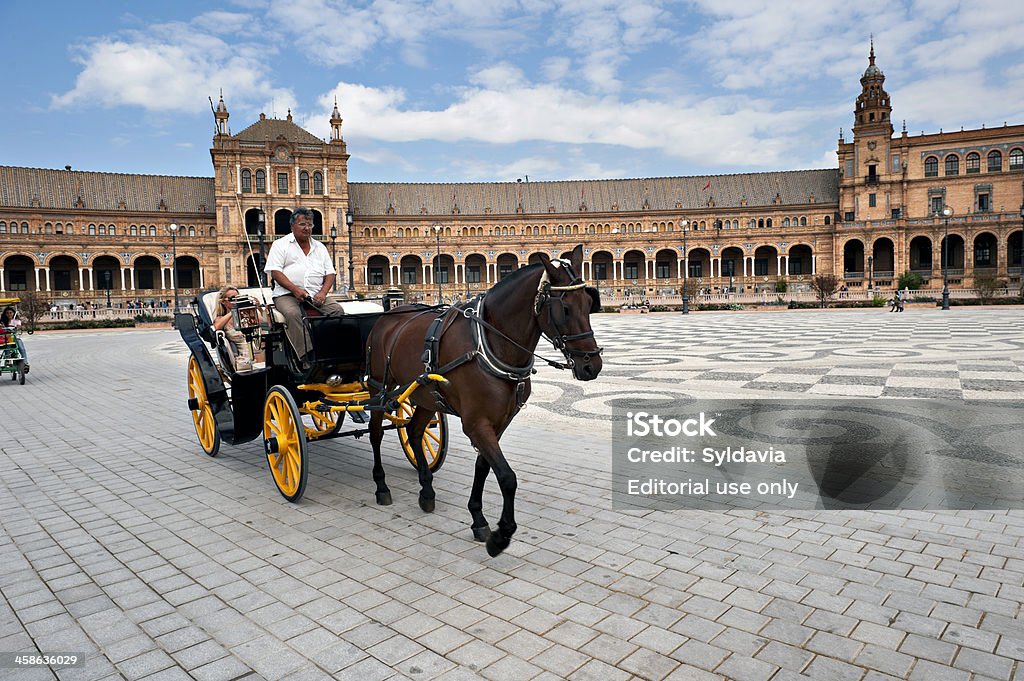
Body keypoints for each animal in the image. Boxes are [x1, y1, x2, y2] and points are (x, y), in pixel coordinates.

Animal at [366, 246, 598, 557]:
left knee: (414, 432)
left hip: (425, 395)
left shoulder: (499, 421)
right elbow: (507, 477)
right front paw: (501, 535)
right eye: (565, 308)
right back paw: (381, 487)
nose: (592, 365)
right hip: (379, 387)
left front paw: (478, 518)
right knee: (376, 433)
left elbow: (485, 467)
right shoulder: (475, 423)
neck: (490, 344)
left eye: (589, 302)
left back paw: (427, 491)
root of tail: (389, 313)